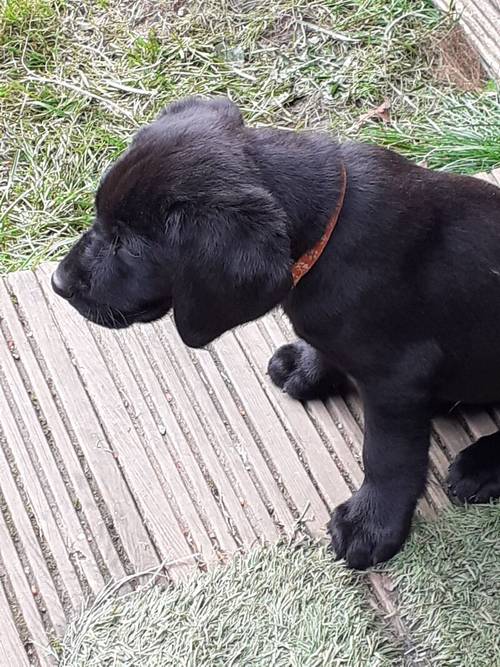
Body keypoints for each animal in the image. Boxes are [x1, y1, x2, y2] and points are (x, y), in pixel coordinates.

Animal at [52, 96, 500, 572]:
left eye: (131, 246)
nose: (58, 283)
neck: (329, 233)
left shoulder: (398, 377)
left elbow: (387, 456)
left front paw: (371, 524)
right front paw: (306, 367)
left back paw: (482, 465)